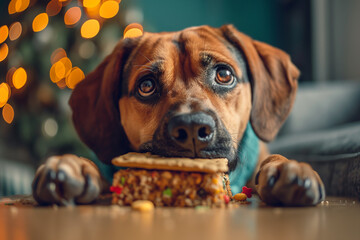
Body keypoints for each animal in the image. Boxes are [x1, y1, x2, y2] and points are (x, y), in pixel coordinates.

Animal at [33, 24, 326, 206]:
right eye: (147, 86)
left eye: (224, 74)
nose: (192, 128)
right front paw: (73, 165)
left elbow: (274, 160)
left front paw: (287, 167)